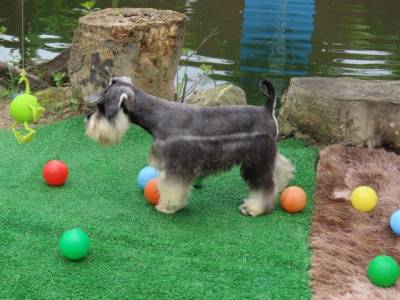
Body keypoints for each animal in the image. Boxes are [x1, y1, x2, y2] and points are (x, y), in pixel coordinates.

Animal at [84, 77, 294, 216]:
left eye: (102, 106)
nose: (87, 119)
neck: (157, 115)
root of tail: (267, 108)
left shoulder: (176, 164)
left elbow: (171, 186)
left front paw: (167, 207)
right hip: (267, 155)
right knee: (281, 165)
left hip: (257, 160)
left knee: (264, 185)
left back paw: (254, 208)